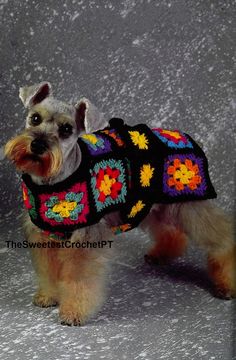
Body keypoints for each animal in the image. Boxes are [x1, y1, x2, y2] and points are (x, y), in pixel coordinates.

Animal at [4, 81, 235, 326]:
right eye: (35, 118)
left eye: (66, 129)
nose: (38, 145)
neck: (54, 179)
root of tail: (187, 137)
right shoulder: (44, 234)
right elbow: (49, 271)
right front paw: (48, 295)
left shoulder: (86, 239)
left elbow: (79, 279)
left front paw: (73, 311)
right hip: (153, 208)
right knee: (171, 232)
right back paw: (161, 254)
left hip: (191, 208)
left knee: (222, 239)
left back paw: (226, 283)